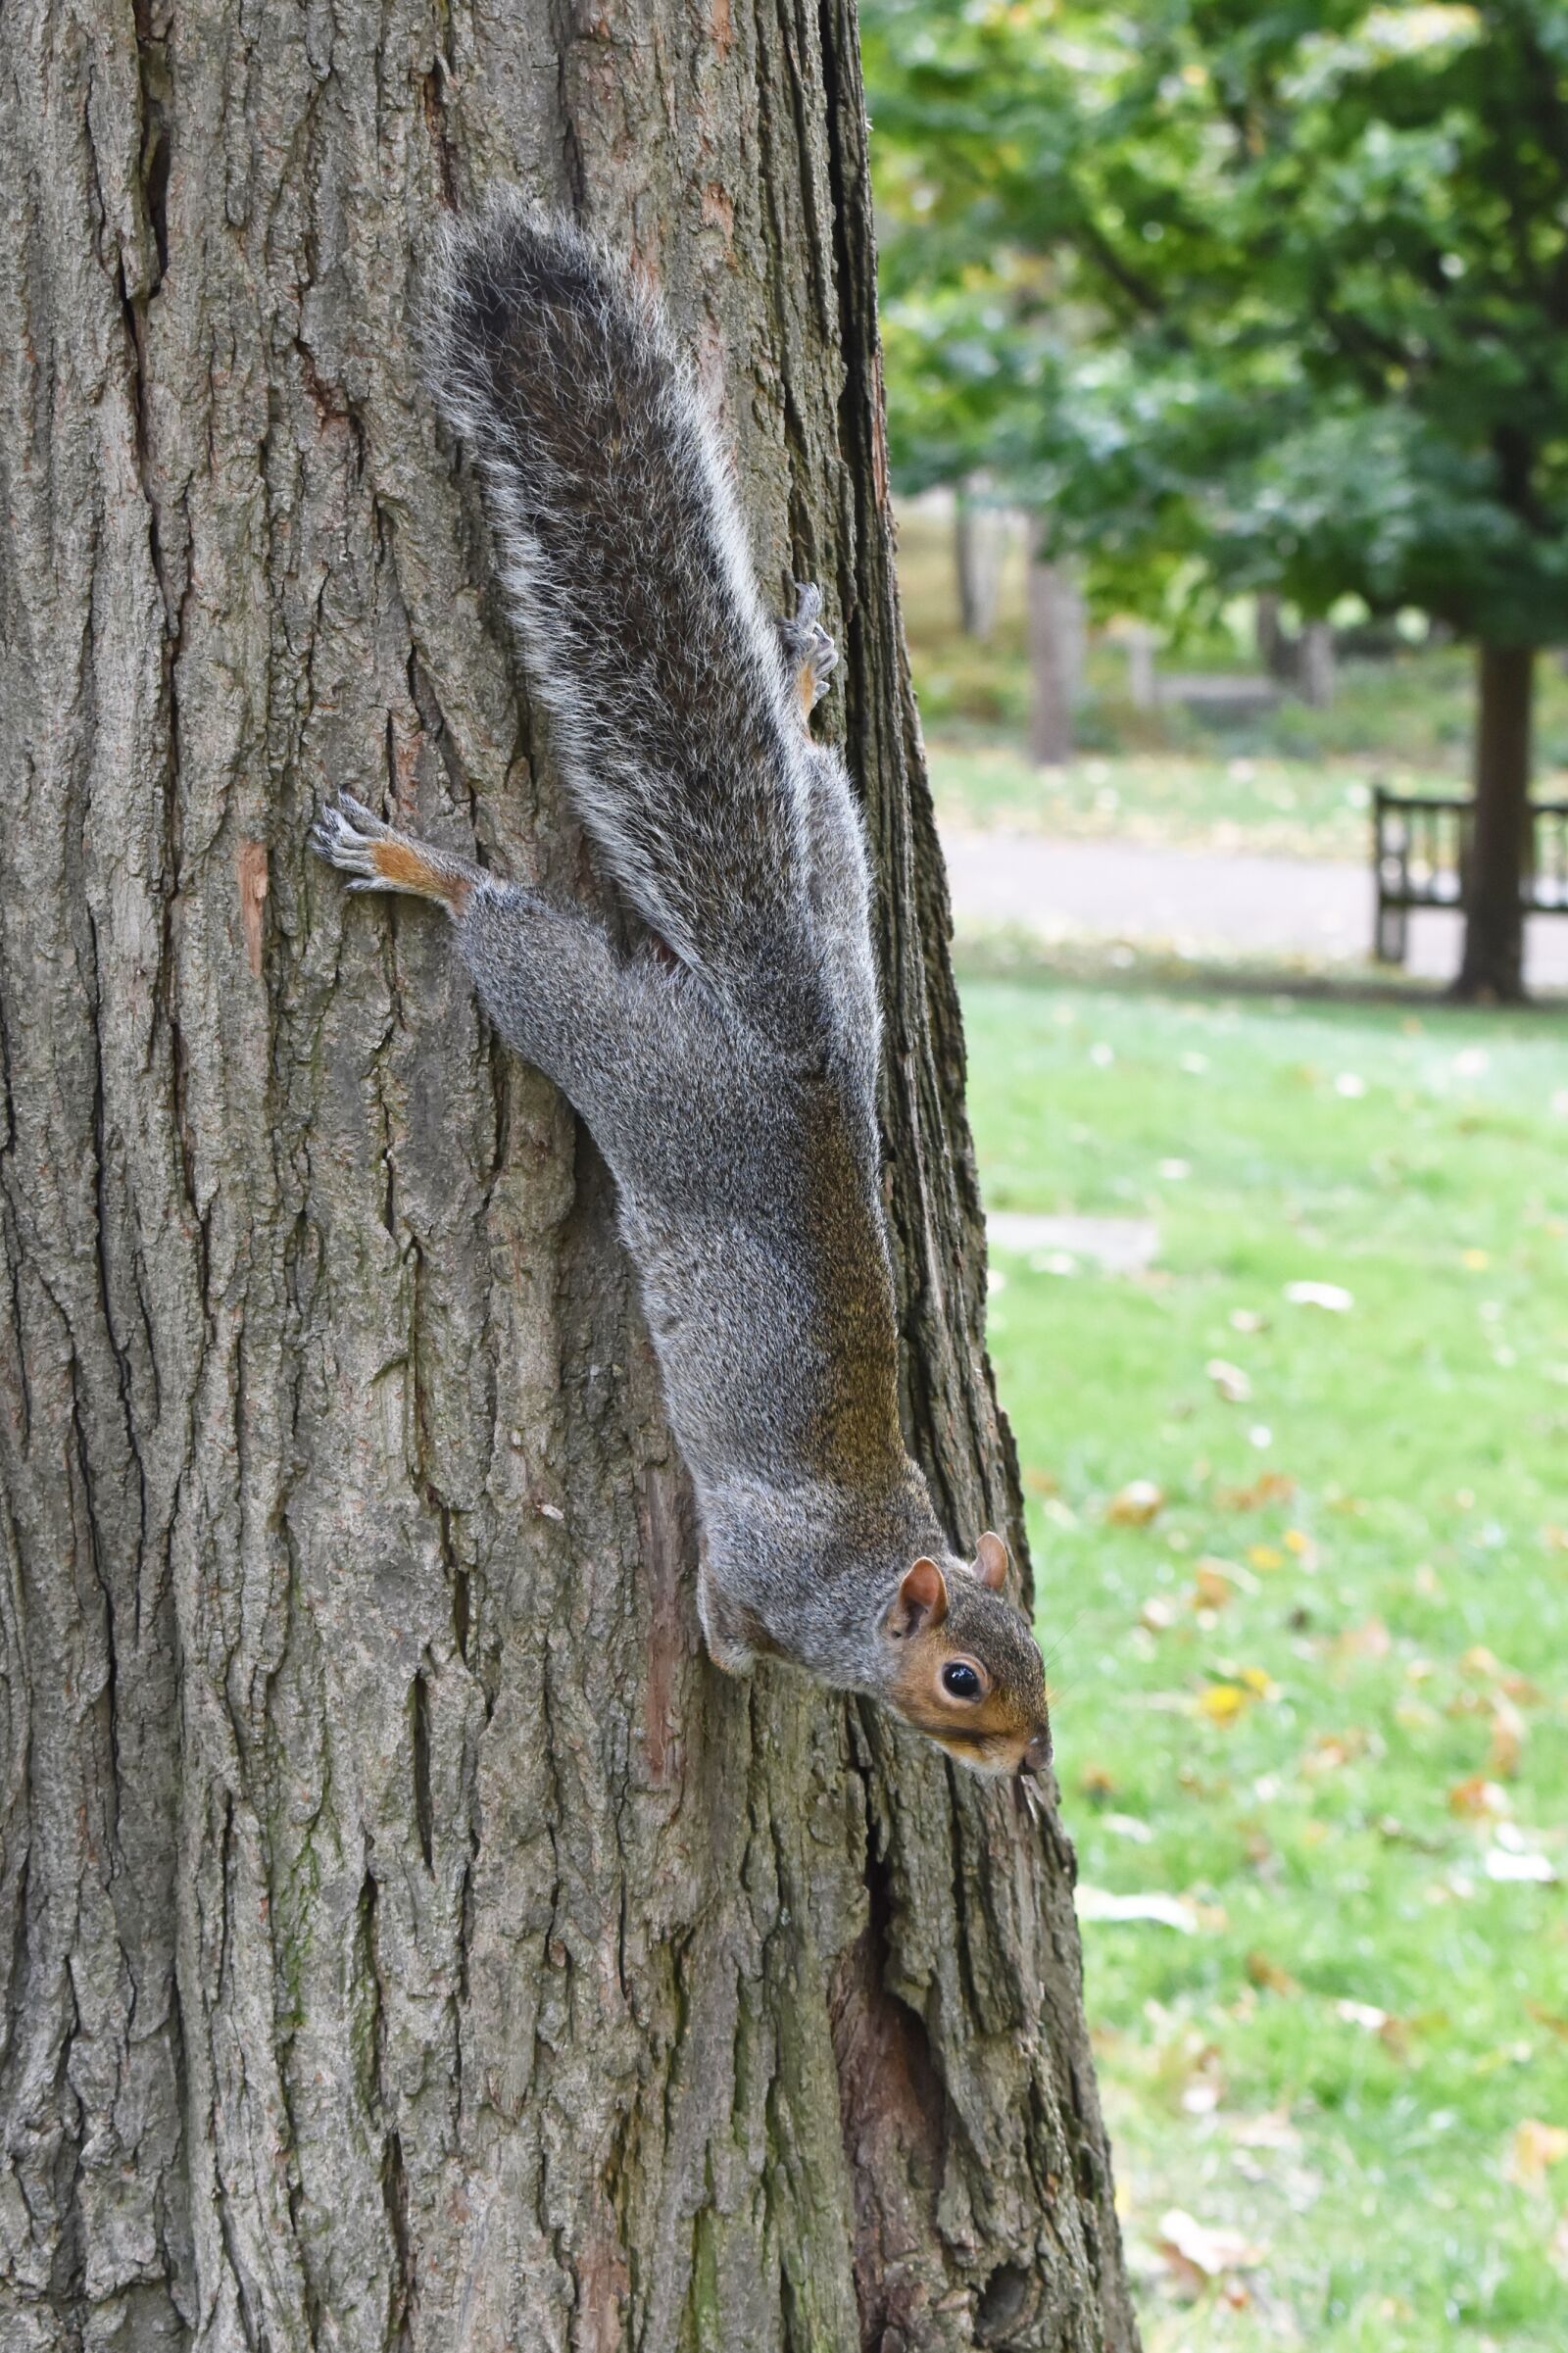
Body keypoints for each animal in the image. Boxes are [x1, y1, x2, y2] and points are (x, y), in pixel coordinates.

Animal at [312, 200, 1051, 1779]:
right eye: (964, 1676)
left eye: (1038, 1654)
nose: (1025, 1766)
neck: (862, 1569)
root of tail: (797, 1040)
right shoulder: (757, 1567)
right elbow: (726, 1621)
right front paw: (722, 1665)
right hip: (614, 1040)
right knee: (507, 935)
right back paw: (416, 863)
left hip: (838, 877)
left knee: (803, 768)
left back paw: (800, 680)